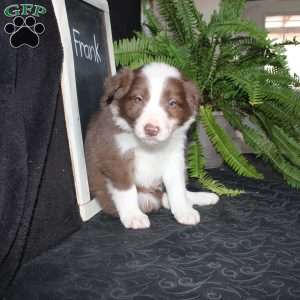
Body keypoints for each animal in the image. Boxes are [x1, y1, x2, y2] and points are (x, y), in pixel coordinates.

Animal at [84, 62, 218, 229]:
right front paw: (133, 216)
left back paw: (201, 197)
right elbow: (127, 190)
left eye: (172, 103)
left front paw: (184, 211)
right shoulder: (116, 158)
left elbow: (177, 188)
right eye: (138, 99)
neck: (149, 147)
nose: (151, 130)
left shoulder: (174, 158)